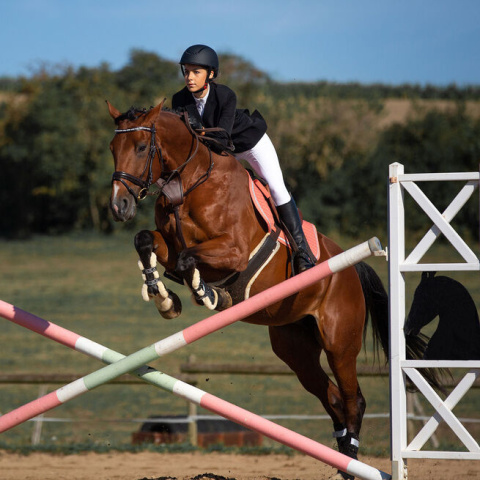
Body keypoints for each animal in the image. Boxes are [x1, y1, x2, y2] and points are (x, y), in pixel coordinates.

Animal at [108, 99, 438, 478]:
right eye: (112, 148)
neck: (188, 183)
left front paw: (208, 294)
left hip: (340, 342)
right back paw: (344, 458)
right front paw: (165, 298)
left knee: (353, 398)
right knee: (332, 396)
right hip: (294, 346)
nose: (119, 206)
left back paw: (353, 459)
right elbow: (146, 241)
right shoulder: (170, 245)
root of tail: (351, 269)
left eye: (141, 147)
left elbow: (189, 261)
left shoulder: (233, 250)